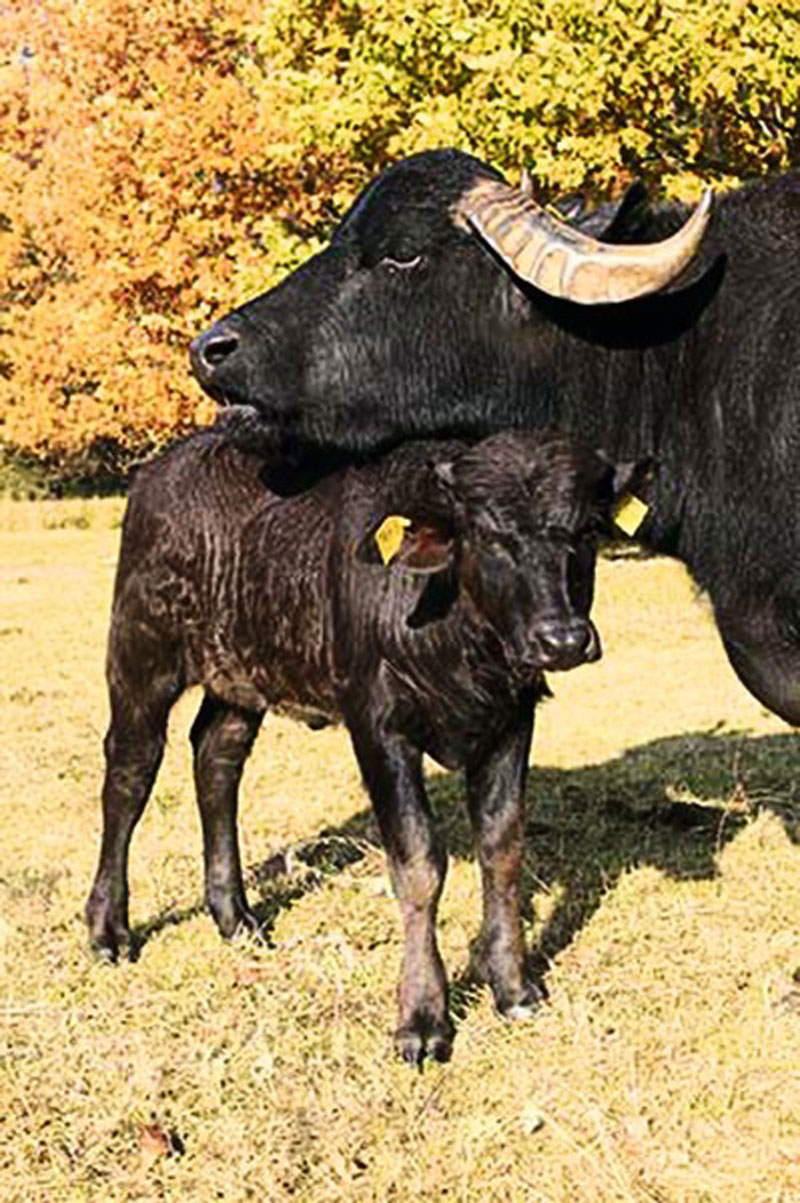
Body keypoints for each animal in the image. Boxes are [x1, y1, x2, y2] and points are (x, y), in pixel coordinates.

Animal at [86, 425, 635, 1063]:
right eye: (489, 535)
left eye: (585, 531)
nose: (563, 639)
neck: (460, 642)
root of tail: (157, 473)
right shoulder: (378, 728)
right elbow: (419, 863)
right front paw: (422, 1018)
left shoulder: (511, 721)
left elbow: (503, 848)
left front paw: (514, 986)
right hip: (139, 657)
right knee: (129, 773)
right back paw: (109, 929)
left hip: (241, 677)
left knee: (217, 759)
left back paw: (235, 916)